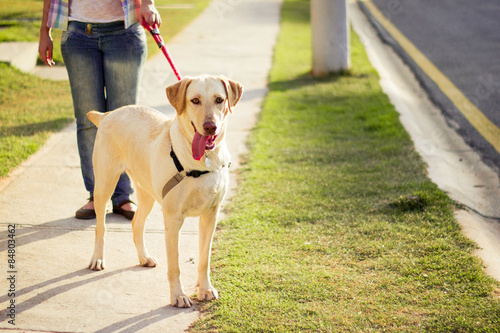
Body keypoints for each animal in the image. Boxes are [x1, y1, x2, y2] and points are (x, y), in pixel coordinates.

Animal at [85, 74, 242, 306]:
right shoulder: (173, 219)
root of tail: (108, 114)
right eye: (195, 100)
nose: (210, 127)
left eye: (219, 100)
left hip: (147, 193)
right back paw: (97, 258)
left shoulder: (210, 216)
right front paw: (178, 295)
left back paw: (144, 257)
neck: (203, 160)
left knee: (136, 223)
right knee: (100, 227)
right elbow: (175, 265)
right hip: (104, 184)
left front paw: (205, 289)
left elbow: (204, 259)